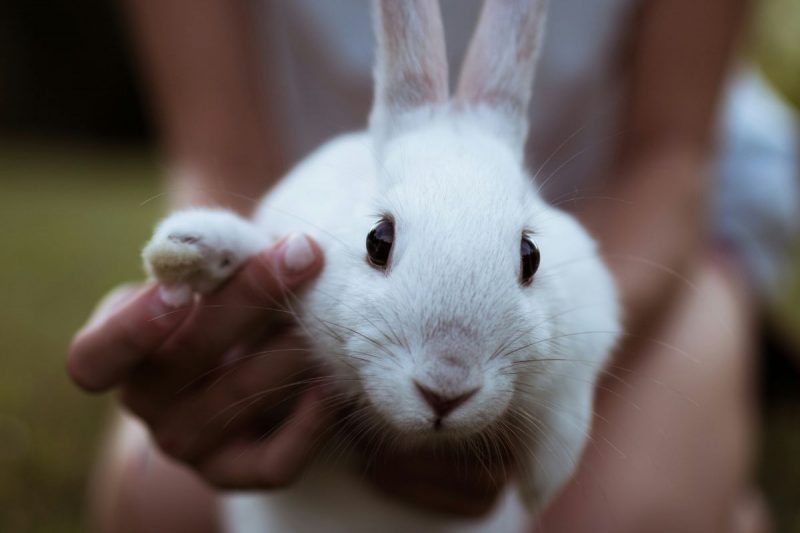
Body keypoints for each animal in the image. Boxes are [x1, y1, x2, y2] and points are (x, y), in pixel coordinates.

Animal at [142, 1, 620, 528]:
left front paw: (545, 481)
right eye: (378, 241)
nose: (446, 388)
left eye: (530, 255)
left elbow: (568, 403)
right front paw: (187, 251)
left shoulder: (591, 320)